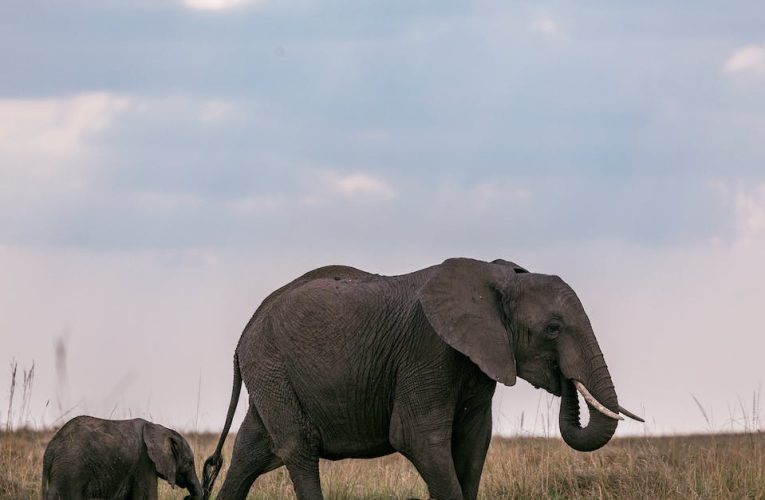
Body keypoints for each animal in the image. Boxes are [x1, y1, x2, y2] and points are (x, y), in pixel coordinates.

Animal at [41, 414, 201, 500]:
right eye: (190, 462)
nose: (187, 497)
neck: (159, 428)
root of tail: (50, 449)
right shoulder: (144, 463)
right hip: (70, 470)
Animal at [201, 258, 640, 500]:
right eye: (553, 328)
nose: (566, 381)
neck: (494, 277)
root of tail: (246, 330)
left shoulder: (476, 362)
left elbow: (473, 444)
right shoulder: (428, 351)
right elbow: (417, 438)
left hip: (270, 377)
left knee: (250, 453)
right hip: (272, 367)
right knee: (298, 450)